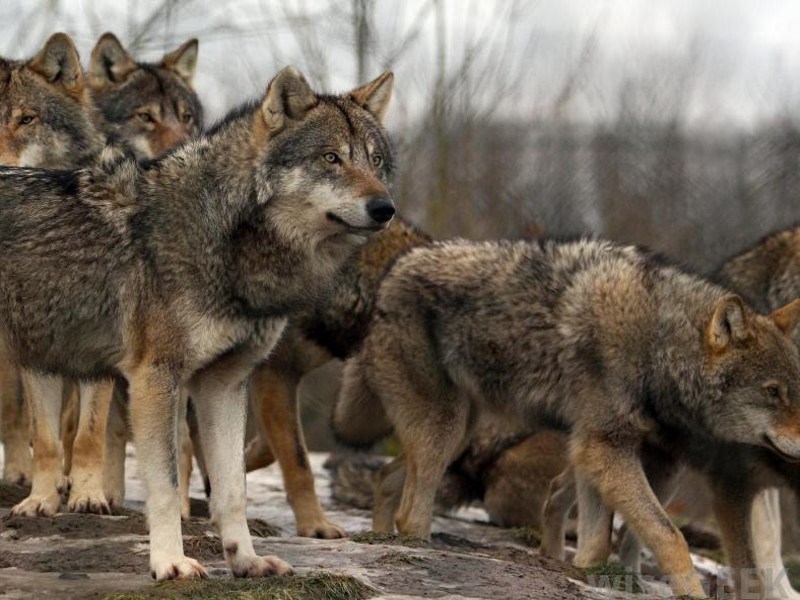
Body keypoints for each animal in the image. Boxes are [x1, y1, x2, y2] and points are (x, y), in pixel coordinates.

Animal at [2, 66, 395, 580]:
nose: (385, 208)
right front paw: (170, 563)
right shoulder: (155, 379)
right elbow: (167, 487)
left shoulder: (224, 384)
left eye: (375, 161)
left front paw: (246, 560)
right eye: (331, 158)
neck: (226, 235)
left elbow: (231, 490)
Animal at [332, 237, 800, 599]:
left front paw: (586, 575)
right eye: (772, 393)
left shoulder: (602, 446)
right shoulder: (604, 446)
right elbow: (669, 536)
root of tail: (393, 272)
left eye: (794, 391)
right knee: (412, 507)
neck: (657, 341)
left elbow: (598, 542)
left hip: (459, 431)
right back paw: (415, 546)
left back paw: (379, 538)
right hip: (445, 429)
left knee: (387, 476)